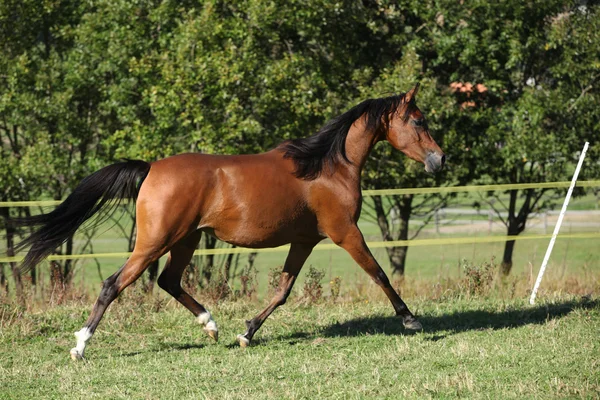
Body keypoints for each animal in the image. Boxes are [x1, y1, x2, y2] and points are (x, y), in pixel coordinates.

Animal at [15, 84, 446, 360]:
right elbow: (379, 273)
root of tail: (151, 167)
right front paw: (411, 320)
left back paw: (211, 326)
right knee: (113, 284)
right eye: (419, 121)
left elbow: (283, 291)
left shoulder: (305, 240)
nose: (440, 160)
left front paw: (246, 333)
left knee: (169, 281)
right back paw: (79, 346)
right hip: (155, 242)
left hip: (185, 240)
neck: (326, 167)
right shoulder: (344, 232)